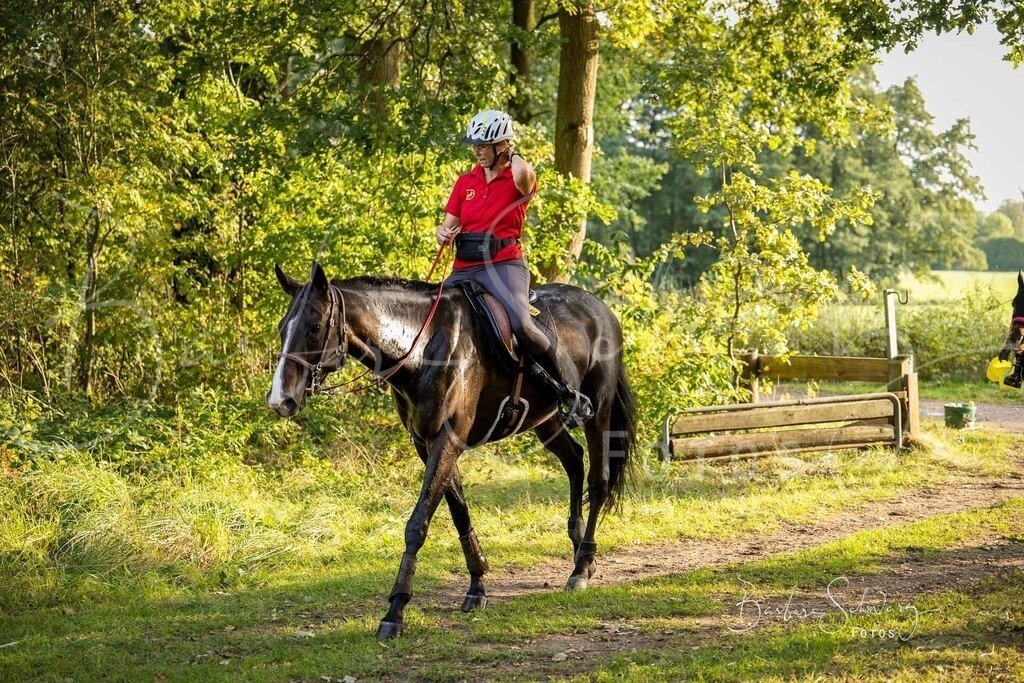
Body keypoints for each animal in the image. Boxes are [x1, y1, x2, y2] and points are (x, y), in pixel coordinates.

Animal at [267, 261, 638, 639]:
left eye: (314, 327)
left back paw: (581, 567)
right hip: (544, 420)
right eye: (284, 328)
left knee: (598, 480)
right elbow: (460, 512)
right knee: (574, 461)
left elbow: (417, 524)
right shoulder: (427, 443)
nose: (281, 400)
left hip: (599, 413)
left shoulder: (447, 441)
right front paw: (477, 586)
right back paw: (580, 553)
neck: (423, 348)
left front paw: (396, 610)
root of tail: (600, 308)